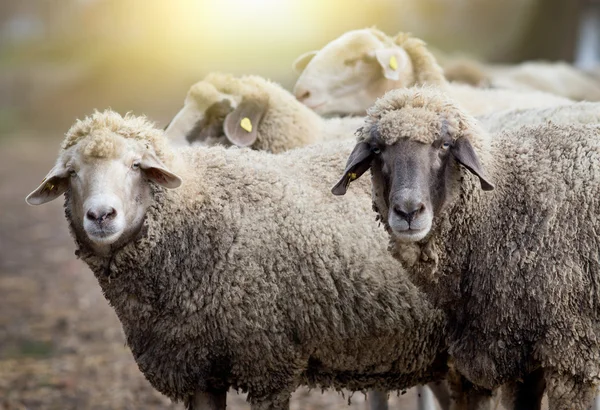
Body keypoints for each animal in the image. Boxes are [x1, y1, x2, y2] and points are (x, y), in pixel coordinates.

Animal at [336, 85, 600, 408]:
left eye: (444, 145)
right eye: (376, 149)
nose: (408, 212)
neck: (499, 206)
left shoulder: (571, 353)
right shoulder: (517, 354)